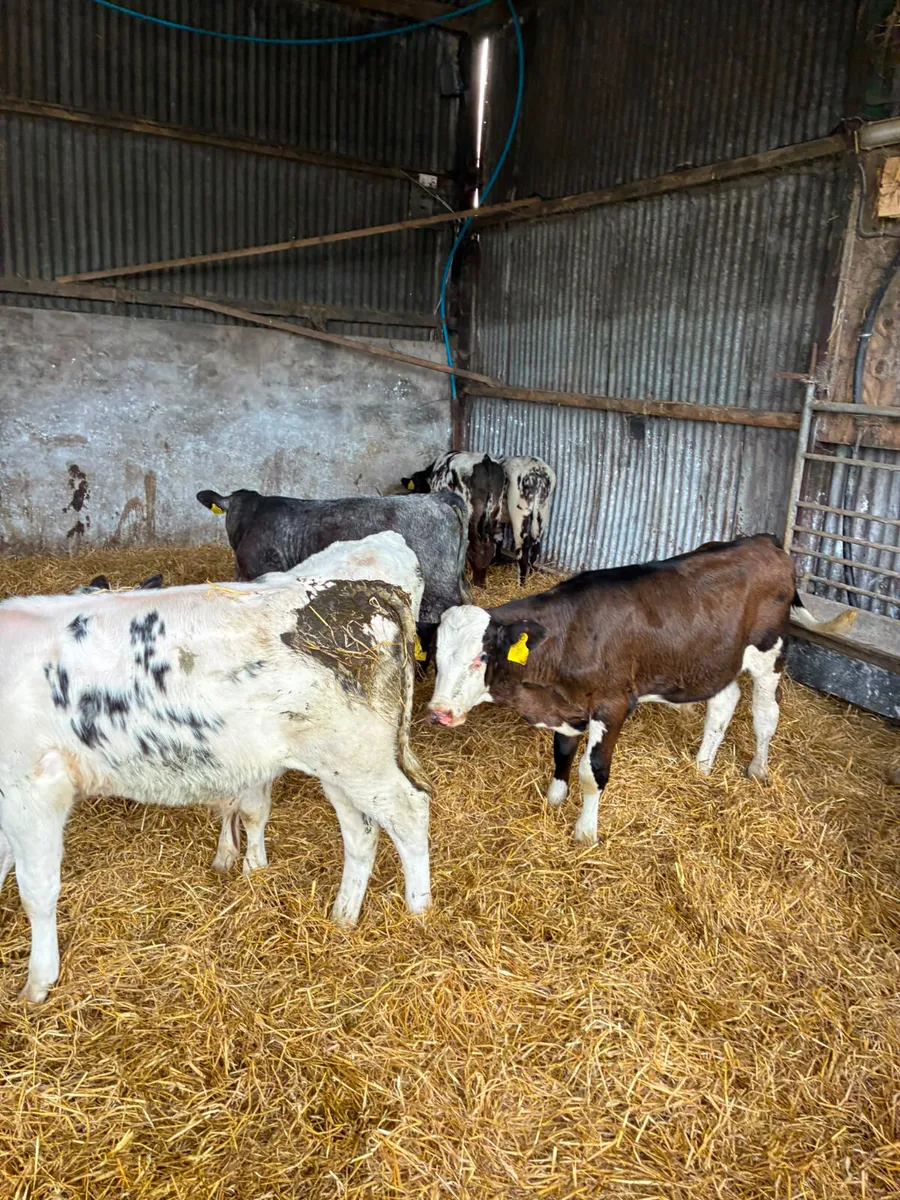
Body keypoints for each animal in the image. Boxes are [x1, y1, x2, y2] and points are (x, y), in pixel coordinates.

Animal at [0, 546, 431, 1003]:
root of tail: (369, 591)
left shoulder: (33, 784)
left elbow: (36, 889)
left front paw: (37, 982)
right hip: (339, 764)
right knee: (361, 832)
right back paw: (343, 915)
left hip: (362, 757)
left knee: (409, 811)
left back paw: (418, 914)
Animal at [401, 452, 506, 588]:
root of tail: (486, 460)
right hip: (495, 511)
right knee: (489, 548)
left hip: (472, 516)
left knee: (477, 549)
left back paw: (476, 582)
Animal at [427, 535, 858, 845]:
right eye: (437, 656)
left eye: (482, 656)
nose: (438, 711)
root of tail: (766, 542)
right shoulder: (568, 707)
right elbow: (562, 752)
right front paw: (554, 799)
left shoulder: (613, 705)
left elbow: (592, 772)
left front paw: (585, 832)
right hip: (716, 659)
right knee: (724, 702)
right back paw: (701, 767)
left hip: (770, 651)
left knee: (765, 714)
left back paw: (758, 769)